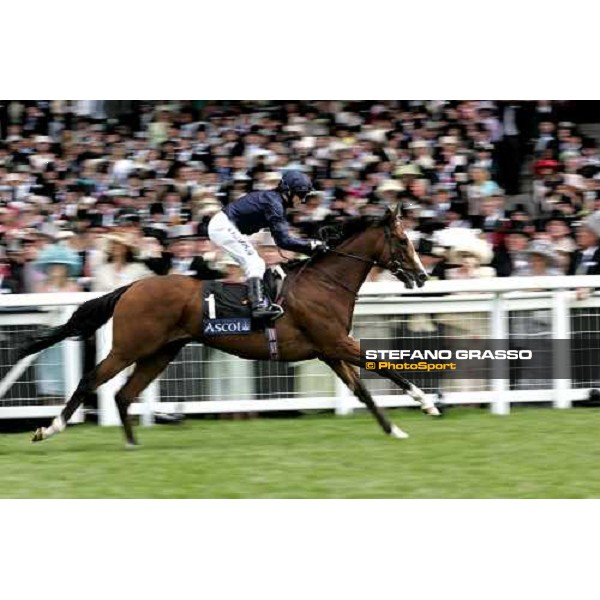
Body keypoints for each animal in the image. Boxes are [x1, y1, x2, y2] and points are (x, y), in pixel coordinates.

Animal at [22, 206, 440, 446]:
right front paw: (427, 403)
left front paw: (395, 429)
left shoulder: (328, 350)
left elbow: (363, 391)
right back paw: (49, 429)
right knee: (91, 379)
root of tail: (132, 286)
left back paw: (132, 444)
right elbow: (383, 365)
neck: (324, 283)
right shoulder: (336, 342)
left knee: (125, 394)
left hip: (160, 352)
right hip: (130, 346)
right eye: (402, 240)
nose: (422, 276)